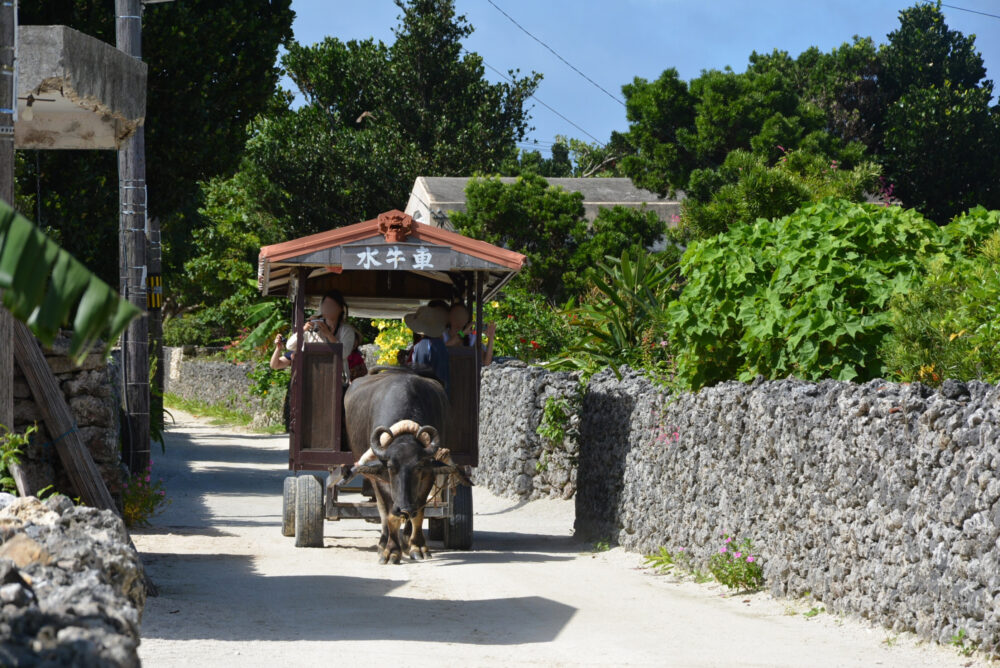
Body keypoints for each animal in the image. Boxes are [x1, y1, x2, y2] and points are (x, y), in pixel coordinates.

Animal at [344, 366, 468, 564]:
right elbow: (389, 513)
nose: (404, 508)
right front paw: (391, 551)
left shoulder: (428, 475)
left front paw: (417, 547)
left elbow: (419, 512)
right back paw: (383, 542)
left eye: (418, 467)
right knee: (381, 508)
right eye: (390, 467)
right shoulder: (381, 477)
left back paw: (406, 539)